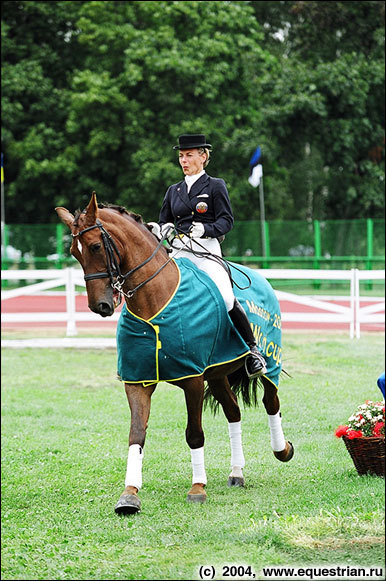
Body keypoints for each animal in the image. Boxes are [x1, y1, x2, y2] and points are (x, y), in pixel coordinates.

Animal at [55, 193, 294, 516]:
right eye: (73, 252)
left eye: (94, 246)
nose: (100, 306)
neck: (154, 300)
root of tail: (261, 278)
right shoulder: (137, 381)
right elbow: (136, 434)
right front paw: (129, 495)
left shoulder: (192, 379)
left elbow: (194, 433)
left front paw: (198, 488)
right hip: (217, 375)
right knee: (234, 412)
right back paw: (237, 472)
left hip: (269, 364)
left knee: (271, 402)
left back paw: (282, 450)